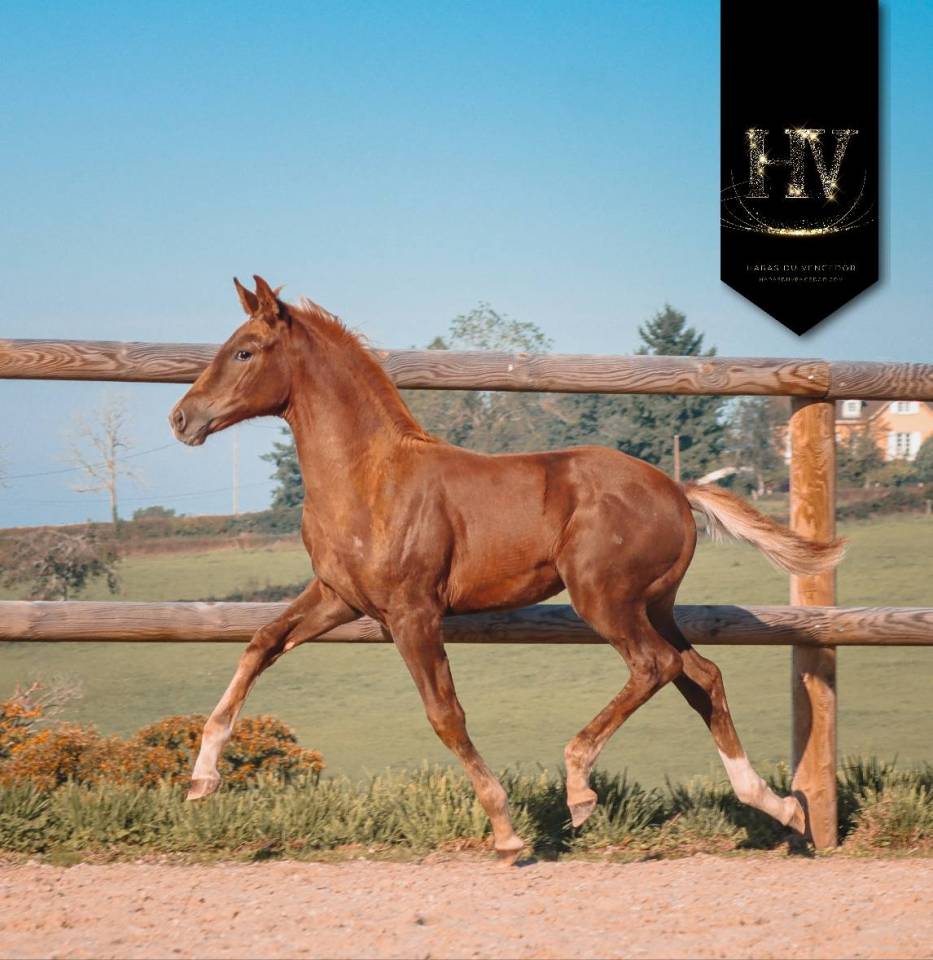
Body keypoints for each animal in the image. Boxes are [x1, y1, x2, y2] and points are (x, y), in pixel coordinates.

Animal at [169, 275, 844, 861]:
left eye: (244, 351)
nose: (181, 418)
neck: (369, 479)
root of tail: (678, 490)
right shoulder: (340, 596)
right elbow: (260, 643)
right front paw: (202, 779)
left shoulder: (412, 613)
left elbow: (445, 714)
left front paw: (505, 830)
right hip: (653, 604)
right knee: (701, 674)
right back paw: (780, 807)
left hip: (603, 598)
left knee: (657, 666)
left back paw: (580, 786)